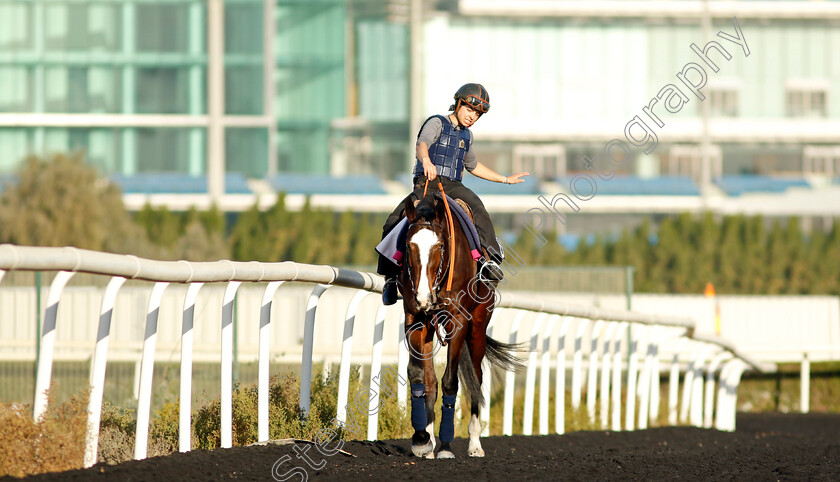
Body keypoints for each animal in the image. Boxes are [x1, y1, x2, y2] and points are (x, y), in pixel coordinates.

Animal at [398, 185, 520, 460]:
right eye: (409, 246)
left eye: (440, 246)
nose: (424, 297)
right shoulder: (415, 318)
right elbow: (420, 377)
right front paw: (422, 440)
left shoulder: (459, 321)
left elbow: (451, 381)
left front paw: (445, 445)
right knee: (433, 380)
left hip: (477, 327)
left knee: (476, 378)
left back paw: (474, 443)